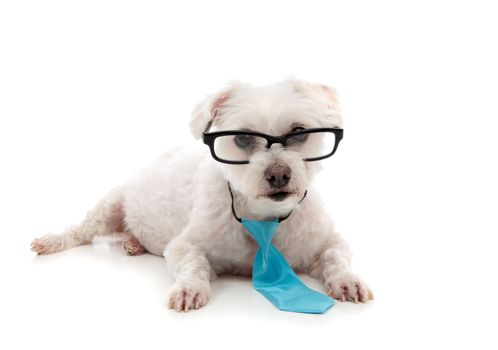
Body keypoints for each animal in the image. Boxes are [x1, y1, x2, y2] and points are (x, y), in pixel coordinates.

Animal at [30, 79, 374, 312]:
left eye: (299, 132)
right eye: (243, 138)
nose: (278, 174)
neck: (261, 217)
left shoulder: (326, 240)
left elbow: (336, 255)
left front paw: (347, 279)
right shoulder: (184, 245)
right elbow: (193, 263)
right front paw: (190, 287)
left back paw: (133, 242)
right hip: (109, 205)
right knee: (79, 231)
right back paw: (55, 240)